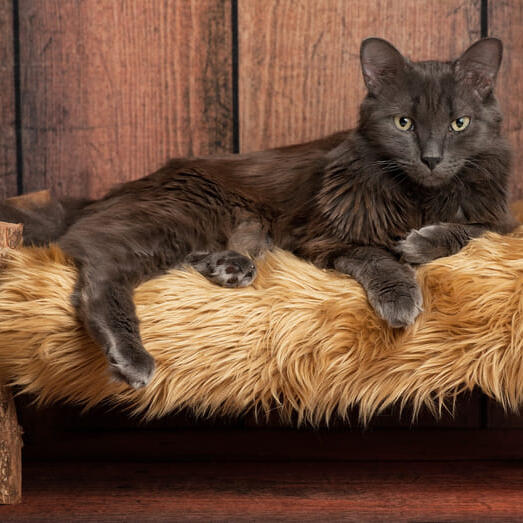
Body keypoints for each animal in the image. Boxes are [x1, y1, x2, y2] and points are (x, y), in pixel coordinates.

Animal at [1, 36, 516, 388]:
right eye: (404, 123)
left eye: (459, 123)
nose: (430, 158)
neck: (420, 196)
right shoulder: (325, 236)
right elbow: (376, 256)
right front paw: (401, 295)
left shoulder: (502, 223)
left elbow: (470, 231)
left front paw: (421, 241)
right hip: (182, 215)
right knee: (100, 273)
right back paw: (132, 358)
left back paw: (231, 267)